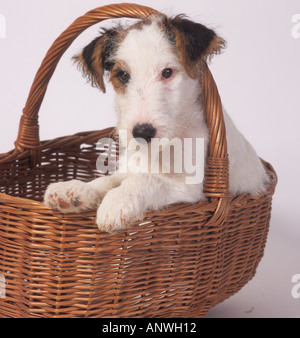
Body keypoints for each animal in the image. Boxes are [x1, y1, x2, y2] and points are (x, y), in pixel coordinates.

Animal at [42, 14, 270, 234]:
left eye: (167, 72)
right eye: (123, 75)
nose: (142, 132)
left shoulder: (189, 187)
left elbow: (145, 180)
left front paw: (117, 202)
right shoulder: (130, 167)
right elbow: (108, 180)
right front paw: (76, 190)